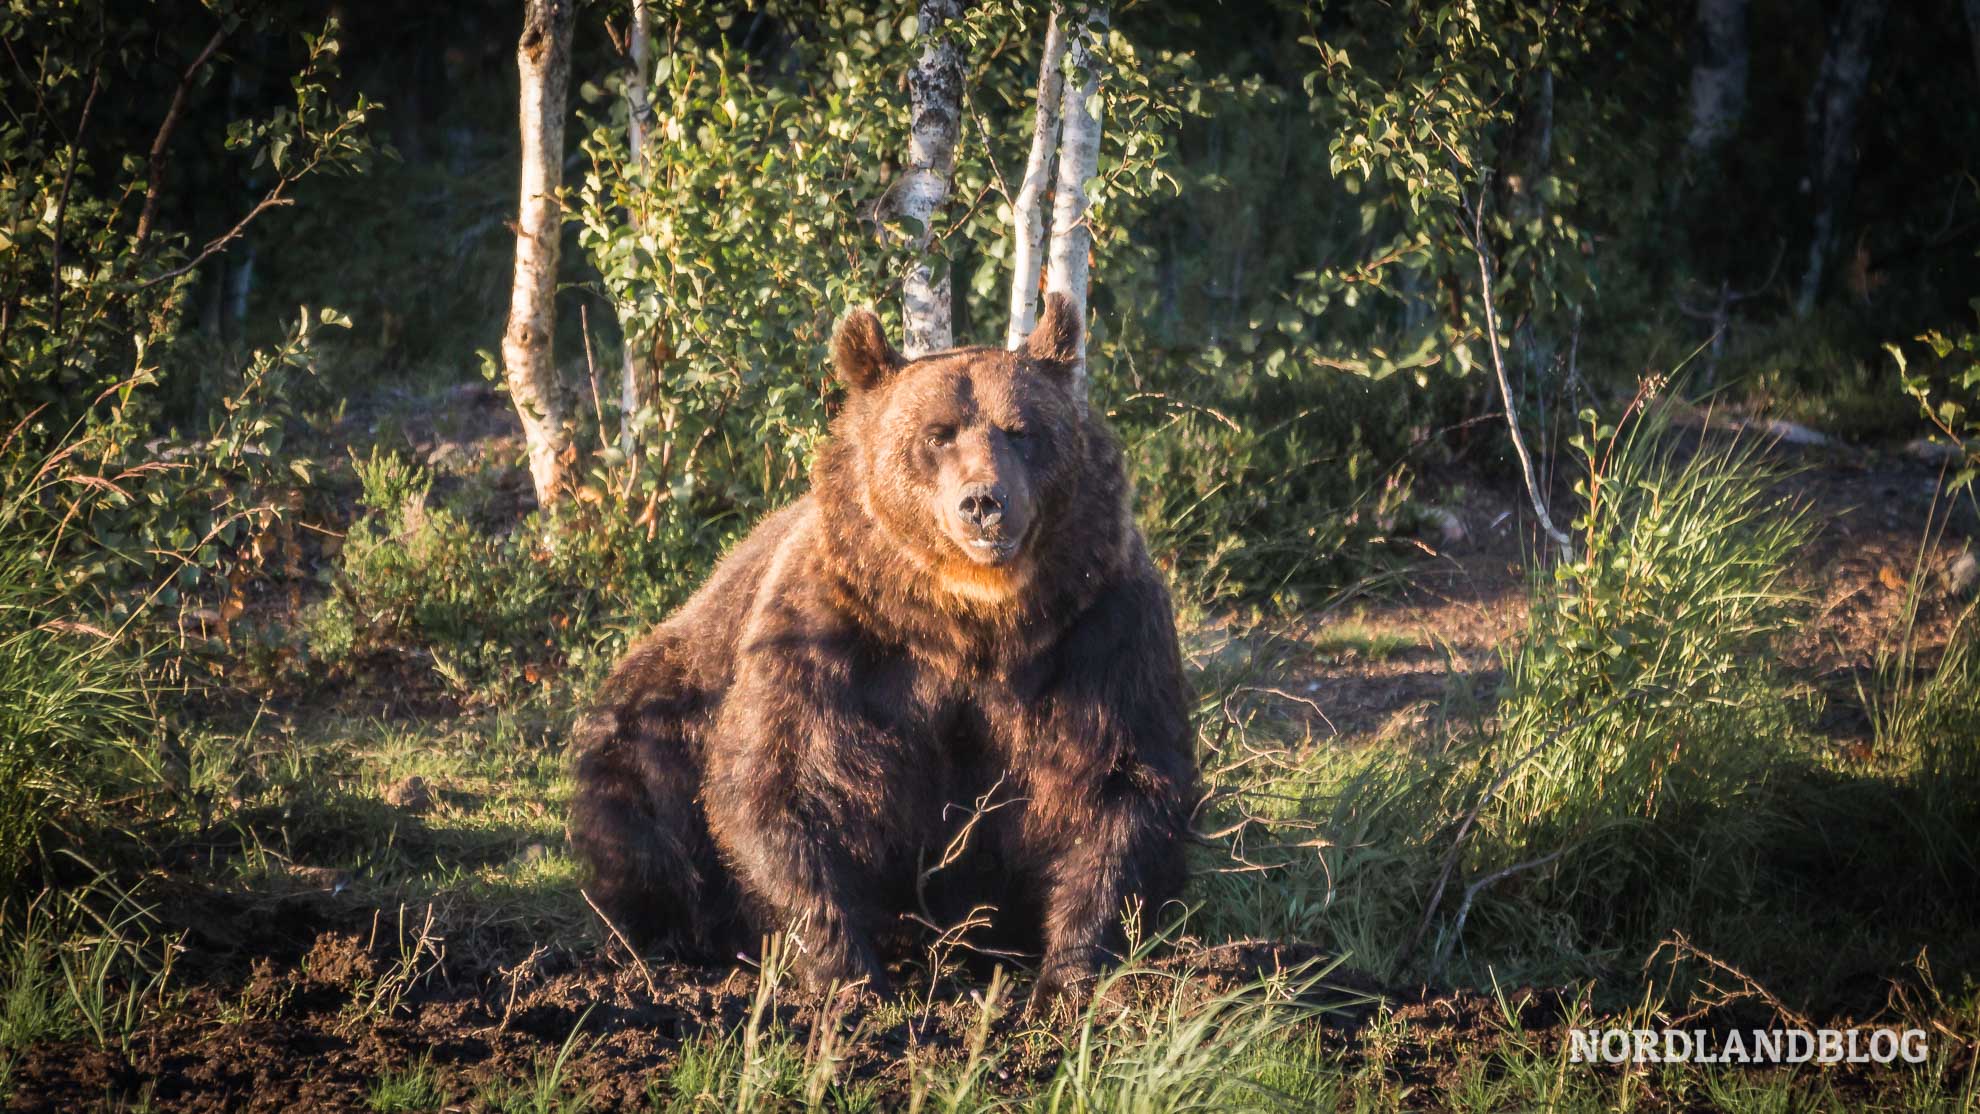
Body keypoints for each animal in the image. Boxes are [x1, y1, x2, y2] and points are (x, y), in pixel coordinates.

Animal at [566, 294, 1195, 1001]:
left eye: (1022, 430)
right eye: (938, 434)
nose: (985, 503)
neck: (971, 620)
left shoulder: (1101, 632)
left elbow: (1121, 783)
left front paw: (1071, 972)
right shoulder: (830, 638)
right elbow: (779, 784)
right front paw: (850, 975)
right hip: (664, 703)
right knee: (638, 805)